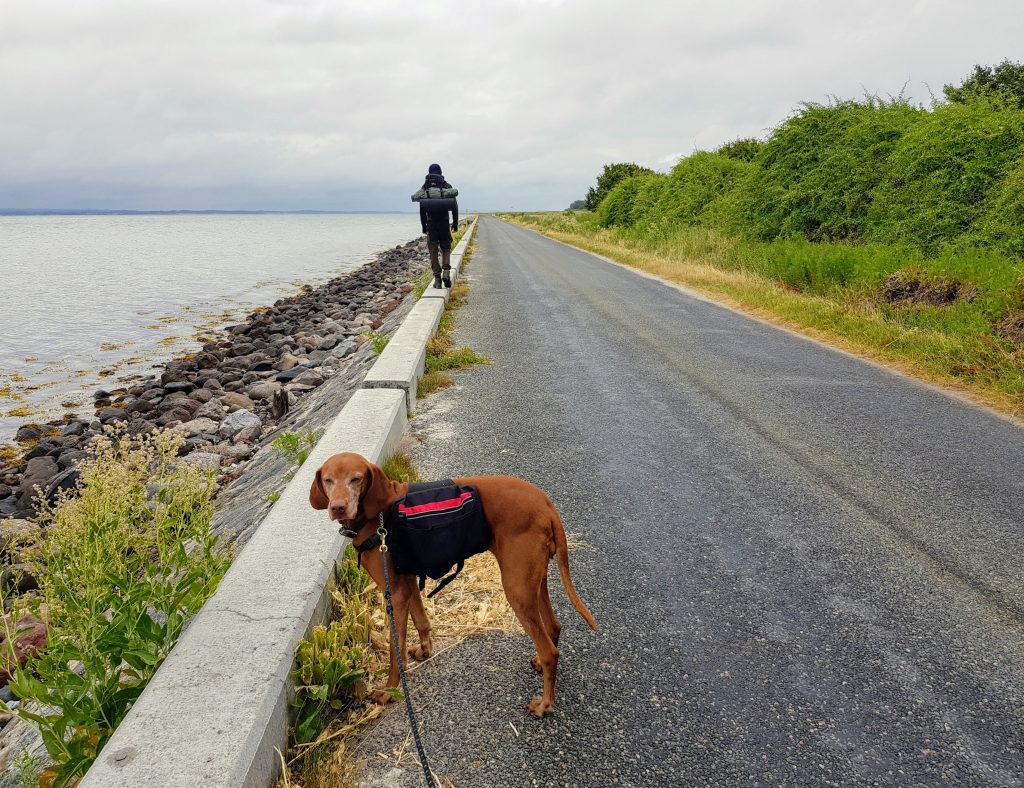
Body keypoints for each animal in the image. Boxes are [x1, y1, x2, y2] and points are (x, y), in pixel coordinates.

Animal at [311, 450, 598, 716]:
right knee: (553, 627)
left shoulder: (394, 593)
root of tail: (546, 503)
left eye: (356, 479)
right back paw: (540, 662)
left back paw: (545, 704)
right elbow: (422, 620)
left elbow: (395, 649)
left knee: (551, 651)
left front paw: (389, 691)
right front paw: (425, 650)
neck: (378, 516)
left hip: (517, 588)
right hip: (532, 582)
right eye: (328, 480)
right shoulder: (409, 582)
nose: (337, 506)